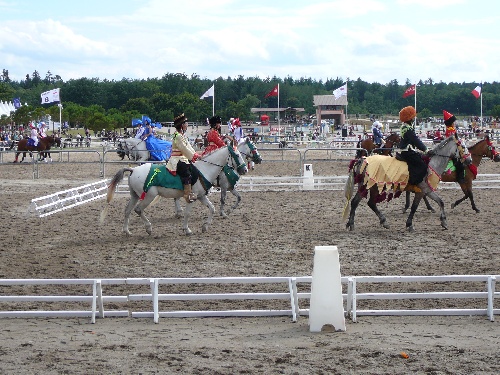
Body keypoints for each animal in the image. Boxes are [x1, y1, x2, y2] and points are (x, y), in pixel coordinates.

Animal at [102, 145, 248, 236]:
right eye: (236, 154)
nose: (244, 169)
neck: (204, 169)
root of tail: (133, 170)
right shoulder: (192, 198)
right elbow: (188, 214)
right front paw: (187, 229)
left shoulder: (201, 196)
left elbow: (212, 208)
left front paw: (205, 226)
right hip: (149, 196)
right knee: (138, 210)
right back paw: (148, 228)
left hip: (135, 196)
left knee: (127, 210)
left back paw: (127, 231)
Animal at [344, 137, 472, 232]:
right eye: (463, 146)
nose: (469, 160)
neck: (431, 164)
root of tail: (363, 159)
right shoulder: (422, 191)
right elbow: (414, 207)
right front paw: (409, 224)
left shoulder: (427, 191)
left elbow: (440, 202)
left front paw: (444, 222)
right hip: (370, 186)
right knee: (364, 202)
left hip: (369, 186)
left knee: (361, 202)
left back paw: (358, 223)